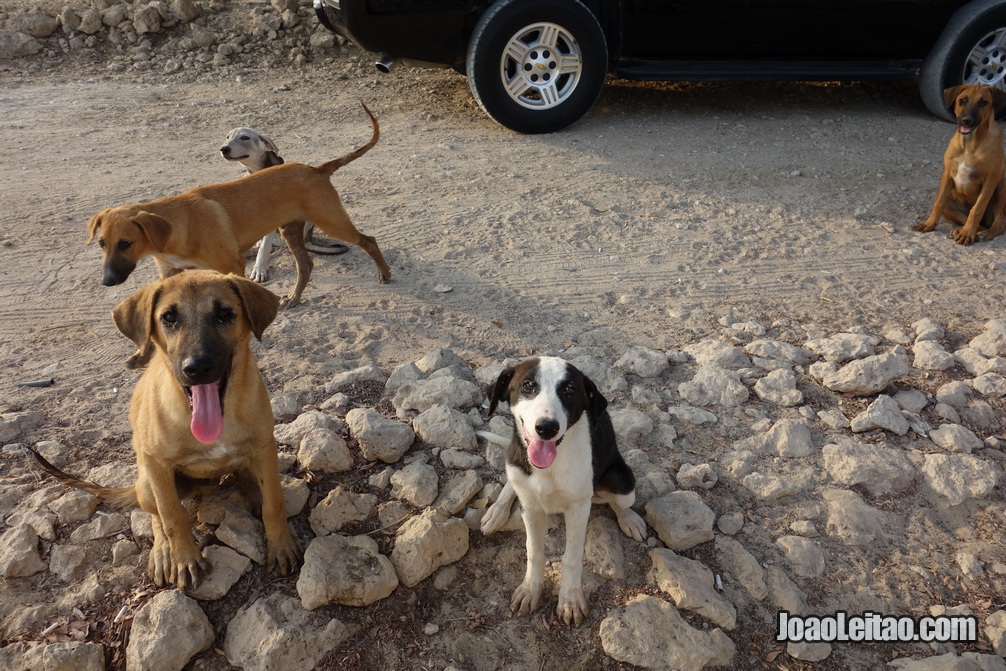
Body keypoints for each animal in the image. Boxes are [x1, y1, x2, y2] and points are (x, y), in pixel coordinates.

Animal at [28, 269, 297, 591]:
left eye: (224, 314)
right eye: (169, 318)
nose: (198, 368)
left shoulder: (265, 447)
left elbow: (274, 501)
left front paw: (281, 545)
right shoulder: (157, 464)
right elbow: (172, 515)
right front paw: (184, 558)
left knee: (245, 476)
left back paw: (252, 491)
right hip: (146, 483)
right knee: (155, 515)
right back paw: (162, 553)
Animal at [86, 103, 388, 309]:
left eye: (126, 243)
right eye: (101, 243)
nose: (107, 281)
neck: (176, 224)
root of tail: (315, 169)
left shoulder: (232, 265)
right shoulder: (170, 273)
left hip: (331, 221)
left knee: (368, 240)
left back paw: (384, 274)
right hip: (290, 230)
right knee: (306, 265)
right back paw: (293, 297)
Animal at [917, 83, 1006, 245]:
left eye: (983, 102)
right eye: (963, 100)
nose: (966, 120)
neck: (970, 143)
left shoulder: (990, 179)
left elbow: (977, 208)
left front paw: (968, 233)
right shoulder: (947, 174)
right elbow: (938, 203)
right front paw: (929, 224)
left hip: (1002, 188)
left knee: (998, 223)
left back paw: (981, 232)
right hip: (949, 203)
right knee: (965, 218)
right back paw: (960, 229)